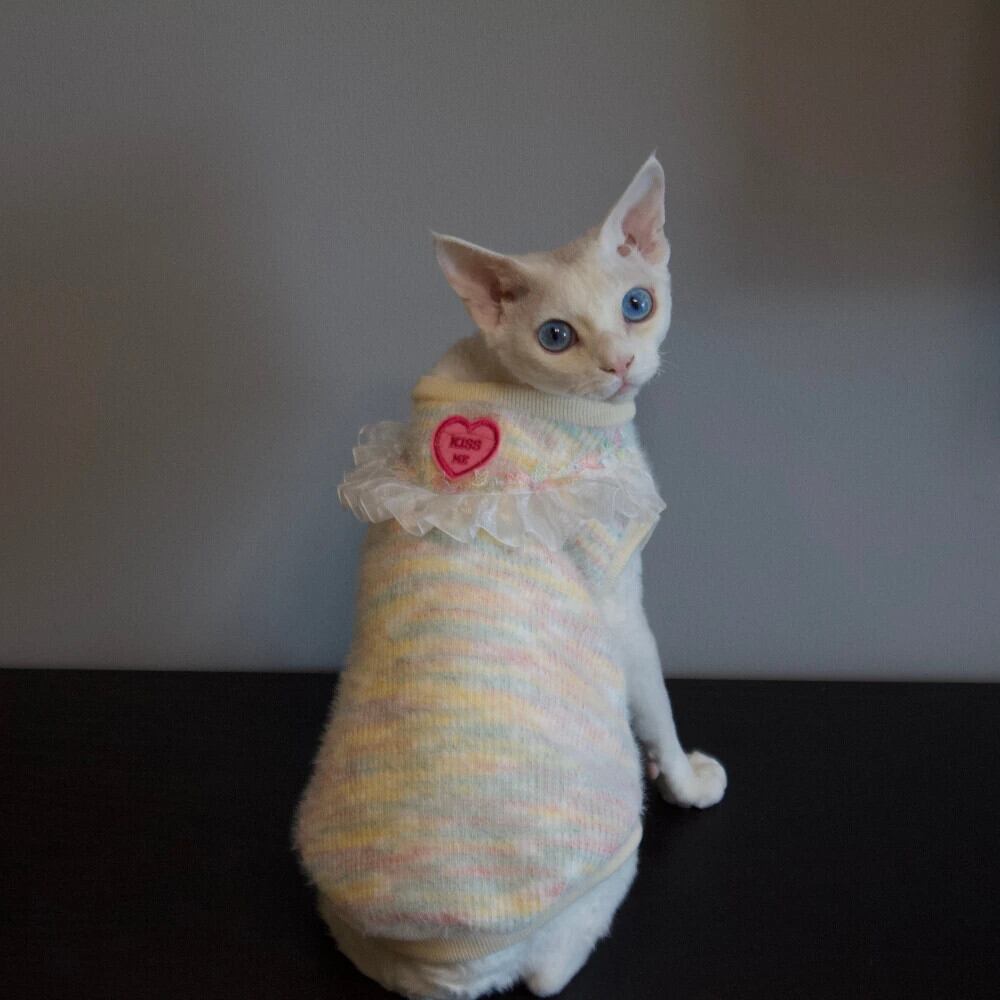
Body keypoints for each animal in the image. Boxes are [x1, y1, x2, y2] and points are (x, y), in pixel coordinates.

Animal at [293, 153, 727, 1000]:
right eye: (556, 336)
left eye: (637, 305)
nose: (620, 364)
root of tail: (444, 965)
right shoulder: (622, 604)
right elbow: (656, 703)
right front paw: (686, 781)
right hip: (605, 846)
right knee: (550, 974)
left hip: (339, 910)